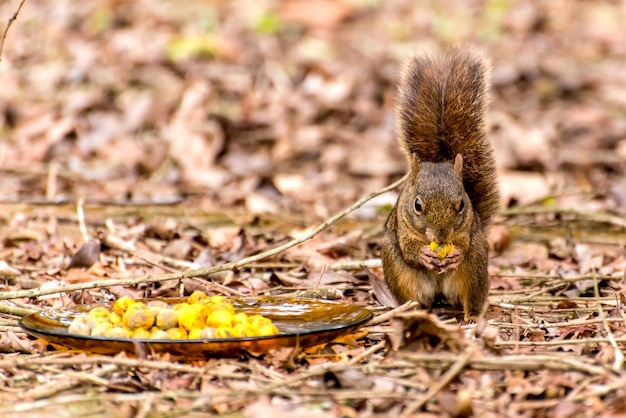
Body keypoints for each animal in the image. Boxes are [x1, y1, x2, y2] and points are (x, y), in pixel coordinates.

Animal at [380, 47, 498, 322]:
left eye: (462, 204)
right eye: (417, 205)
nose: (442, 235)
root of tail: (441, 292)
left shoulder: (467, 230)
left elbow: (463, 243)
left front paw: (455, 253)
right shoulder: (402, 228)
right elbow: (409, 249)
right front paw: (423, 254)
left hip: (477, 266)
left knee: (472, 295)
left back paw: (472, 316)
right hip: (399, 272)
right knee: (415, 298)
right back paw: (414, 311)